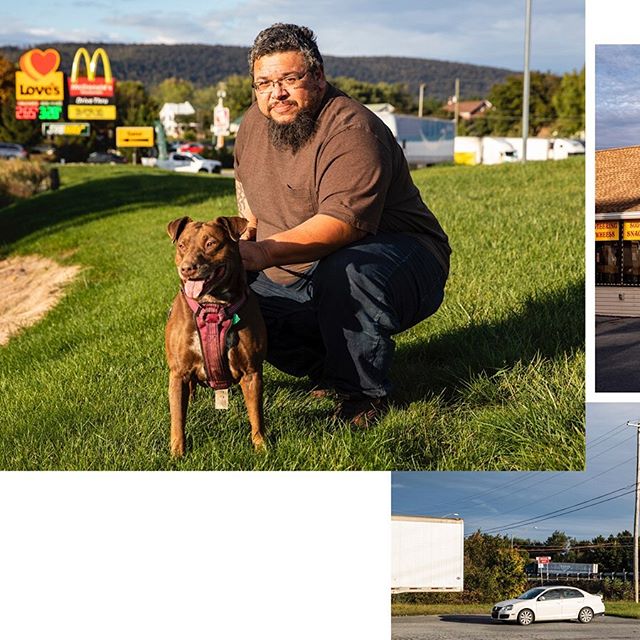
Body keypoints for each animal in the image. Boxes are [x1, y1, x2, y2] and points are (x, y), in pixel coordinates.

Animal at [168, 216, 268, 456]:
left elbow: (256, 415)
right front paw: (177, 453)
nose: (186, 268)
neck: (213, 305)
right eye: (181, 245)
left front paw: (261, 446)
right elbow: (177, 418)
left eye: (211, 243)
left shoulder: (251, 372)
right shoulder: (178, 373)